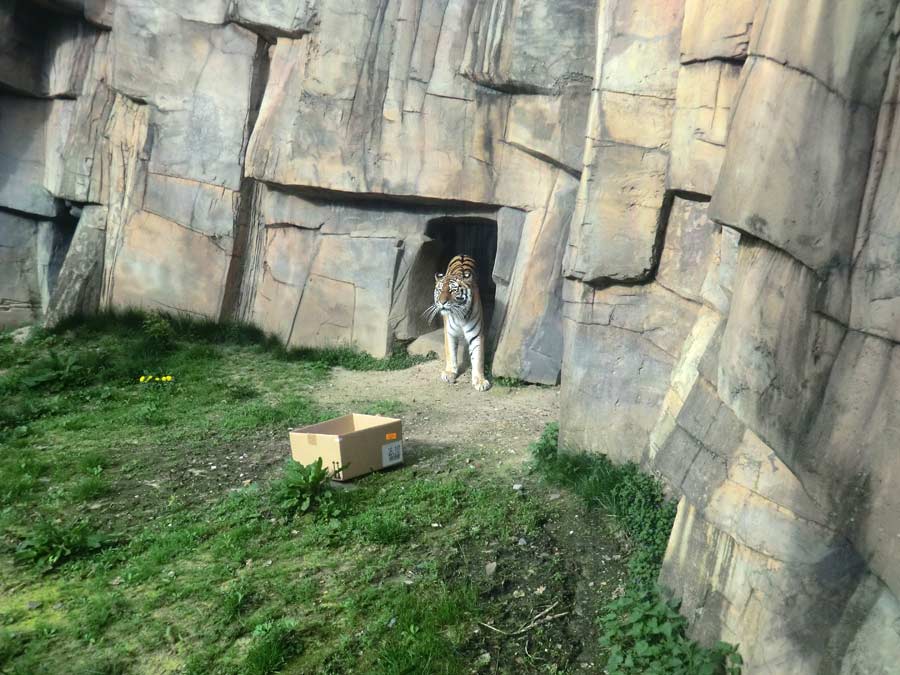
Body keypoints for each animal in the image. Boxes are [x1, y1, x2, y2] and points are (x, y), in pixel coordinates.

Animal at [424, 256, 492, 394]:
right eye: (439, 290)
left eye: (452, 290)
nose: (441, 302)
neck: (460, 315)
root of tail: (462, 254)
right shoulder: (449, 333)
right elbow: (450, 353)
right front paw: (450, 373)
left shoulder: (477, 335)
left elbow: (478, 358)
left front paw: (480, 381)